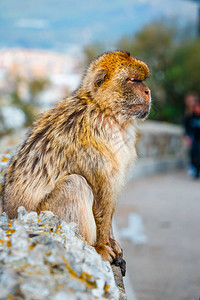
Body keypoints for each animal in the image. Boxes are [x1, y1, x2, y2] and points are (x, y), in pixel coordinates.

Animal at [3, 50, 151, 274]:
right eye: (133, 80)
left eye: (142, 80)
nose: (148, 91)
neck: (106, 112)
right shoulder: (97, 143)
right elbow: (102, 196)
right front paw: (102, 246)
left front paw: (111, 241)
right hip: (44, 211)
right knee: (75, 184)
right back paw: (92, 246)